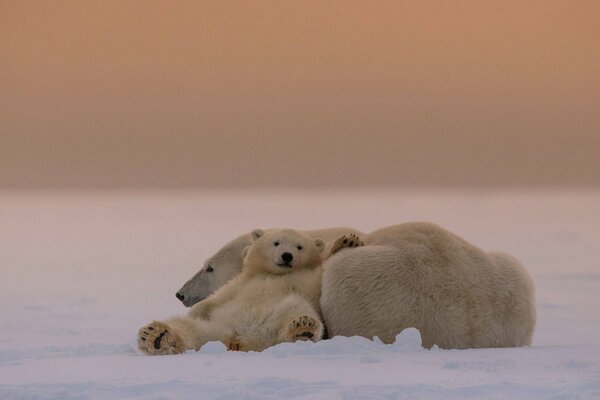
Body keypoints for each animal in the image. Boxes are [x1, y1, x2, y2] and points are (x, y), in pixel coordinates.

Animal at [139, 230, 344, 354]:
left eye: (299, 246)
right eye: (276, 243)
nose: (287, 255)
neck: (271, 274)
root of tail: (237, 339)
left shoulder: (305, 280)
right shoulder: (240, 283)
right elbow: (216, 299)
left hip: (279, 316)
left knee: (297, 310)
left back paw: (303, 328)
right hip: (216, 326)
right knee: (186, 326)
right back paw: (156, 336)